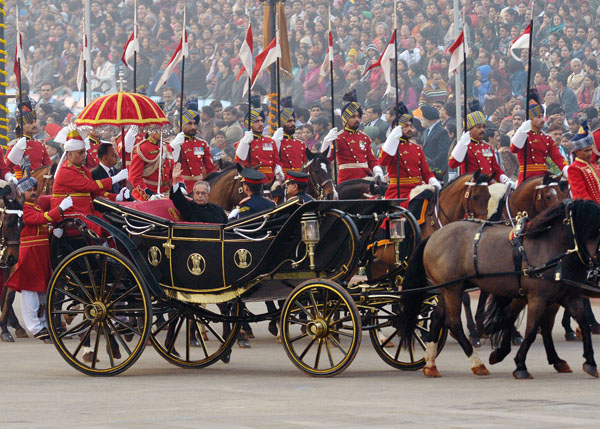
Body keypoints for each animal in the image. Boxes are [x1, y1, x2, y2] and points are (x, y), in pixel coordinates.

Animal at [400, 199, 600, 376]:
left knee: (436, 319)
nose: (595, 271)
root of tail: (434, 235)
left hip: (449, 289)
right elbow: (531, 329)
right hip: (453, 289)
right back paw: (476, 362)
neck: (550, 247)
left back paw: (431, 364)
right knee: (454, 323)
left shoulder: (566, 296)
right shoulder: (537, 298)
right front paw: (520, 364)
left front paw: (590, 361)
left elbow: (581, 322)